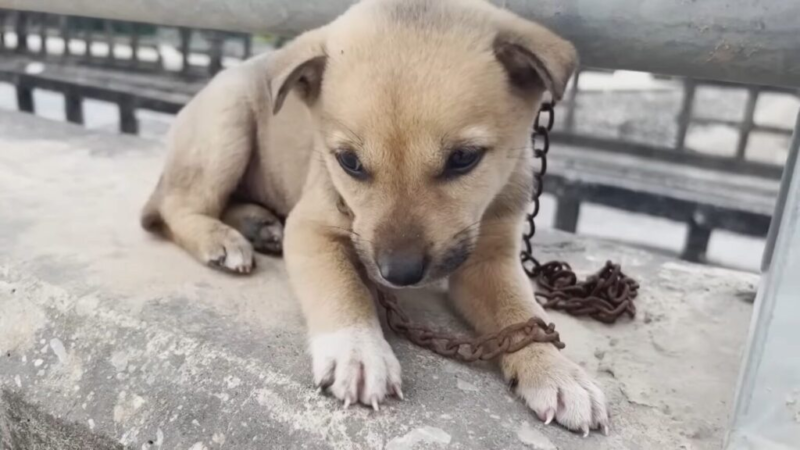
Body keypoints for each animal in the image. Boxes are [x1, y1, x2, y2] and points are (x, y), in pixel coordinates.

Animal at [141, 0, 608, 436]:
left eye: (464, 159)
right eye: (348, 162)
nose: (398, 274)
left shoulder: (490, 258)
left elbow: (521, 313)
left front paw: (556, 371)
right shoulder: (311, 228)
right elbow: (343, 286)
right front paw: (358, 350)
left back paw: (258, 225)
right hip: (227, 127)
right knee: (177, 206)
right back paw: (220, 240)